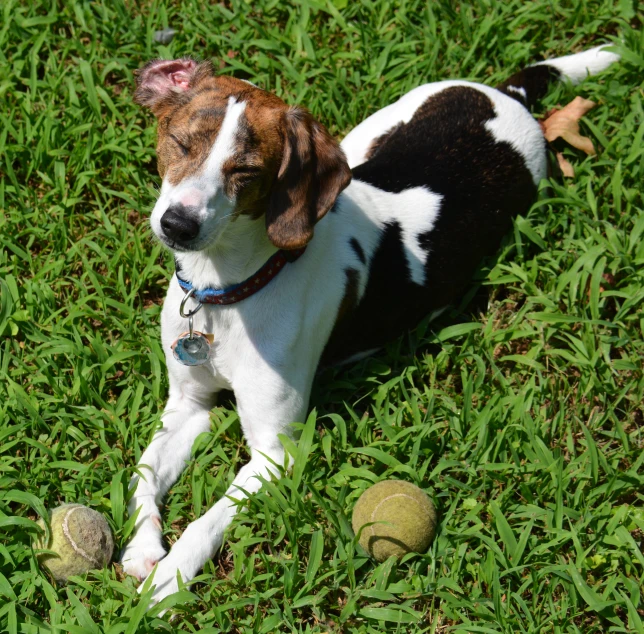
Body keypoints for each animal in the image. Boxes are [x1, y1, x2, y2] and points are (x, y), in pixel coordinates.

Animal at [121, 45, 620, 604]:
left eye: (246, 172)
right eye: (180, 142)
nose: (177, 225)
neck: (227, 290)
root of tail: (508, 95)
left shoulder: (276, 452)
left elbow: (207, 520)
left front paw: (171, 579)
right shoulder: (189, 405)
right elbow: (142, 476)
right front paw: (142, 548)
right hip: (362, 140)